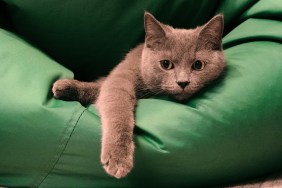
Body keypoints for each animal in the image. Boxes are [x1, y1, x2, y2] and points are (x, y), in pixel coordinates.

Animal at [52, 11, 225, 178]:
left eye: (198, 65)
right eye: (165, 64)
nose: (183, 82)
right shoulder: (120, 78)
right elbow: (117, 108)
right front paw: (118, 158)